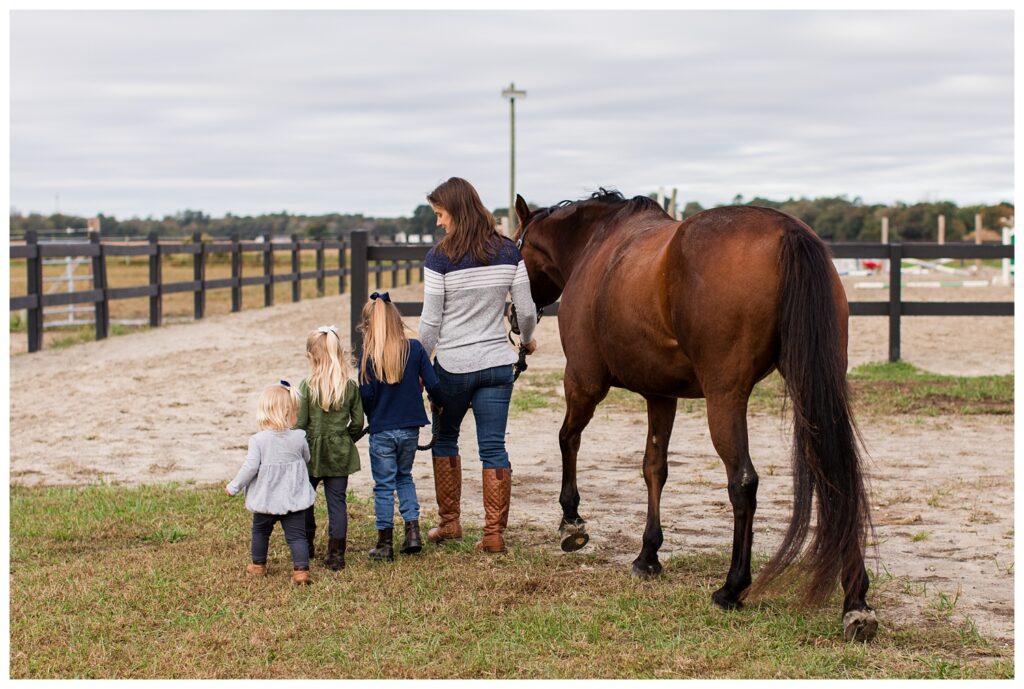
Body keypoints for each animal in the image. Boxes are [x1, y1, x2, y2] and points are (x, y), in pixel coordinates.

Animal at [516, 189, 876, 638]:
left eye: (515, 249)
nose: (515, 318)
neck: (595, 244)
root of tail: (787, 232)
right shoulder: (660, 394)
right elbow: (654, 468)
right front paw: (648, 554)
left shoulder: (583, 381)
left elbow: (568, 439)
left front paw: (572, 522)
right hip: (814, 383)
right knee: (837, 476)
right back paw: (856, 602)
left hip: (724, 397)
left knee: (743, 482)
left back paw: (732, 588)